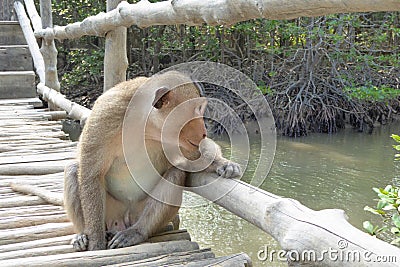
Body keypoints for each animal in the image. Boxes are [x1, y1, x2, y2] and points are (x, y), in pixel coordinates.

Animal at [64, 70, 242, 251]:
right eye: (192, 112)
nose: (203, 132)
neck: (145, 123)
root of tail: (124, 220)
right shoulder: (105, 116)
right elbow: (91, 175)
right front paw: (96, 242)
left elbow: (195, 155)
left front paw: (223, 164)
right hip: (112, 212)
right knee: (73, 169)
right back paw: (82, 234)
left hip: (140, 213)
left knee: (175, 173)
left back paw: (137, 232)